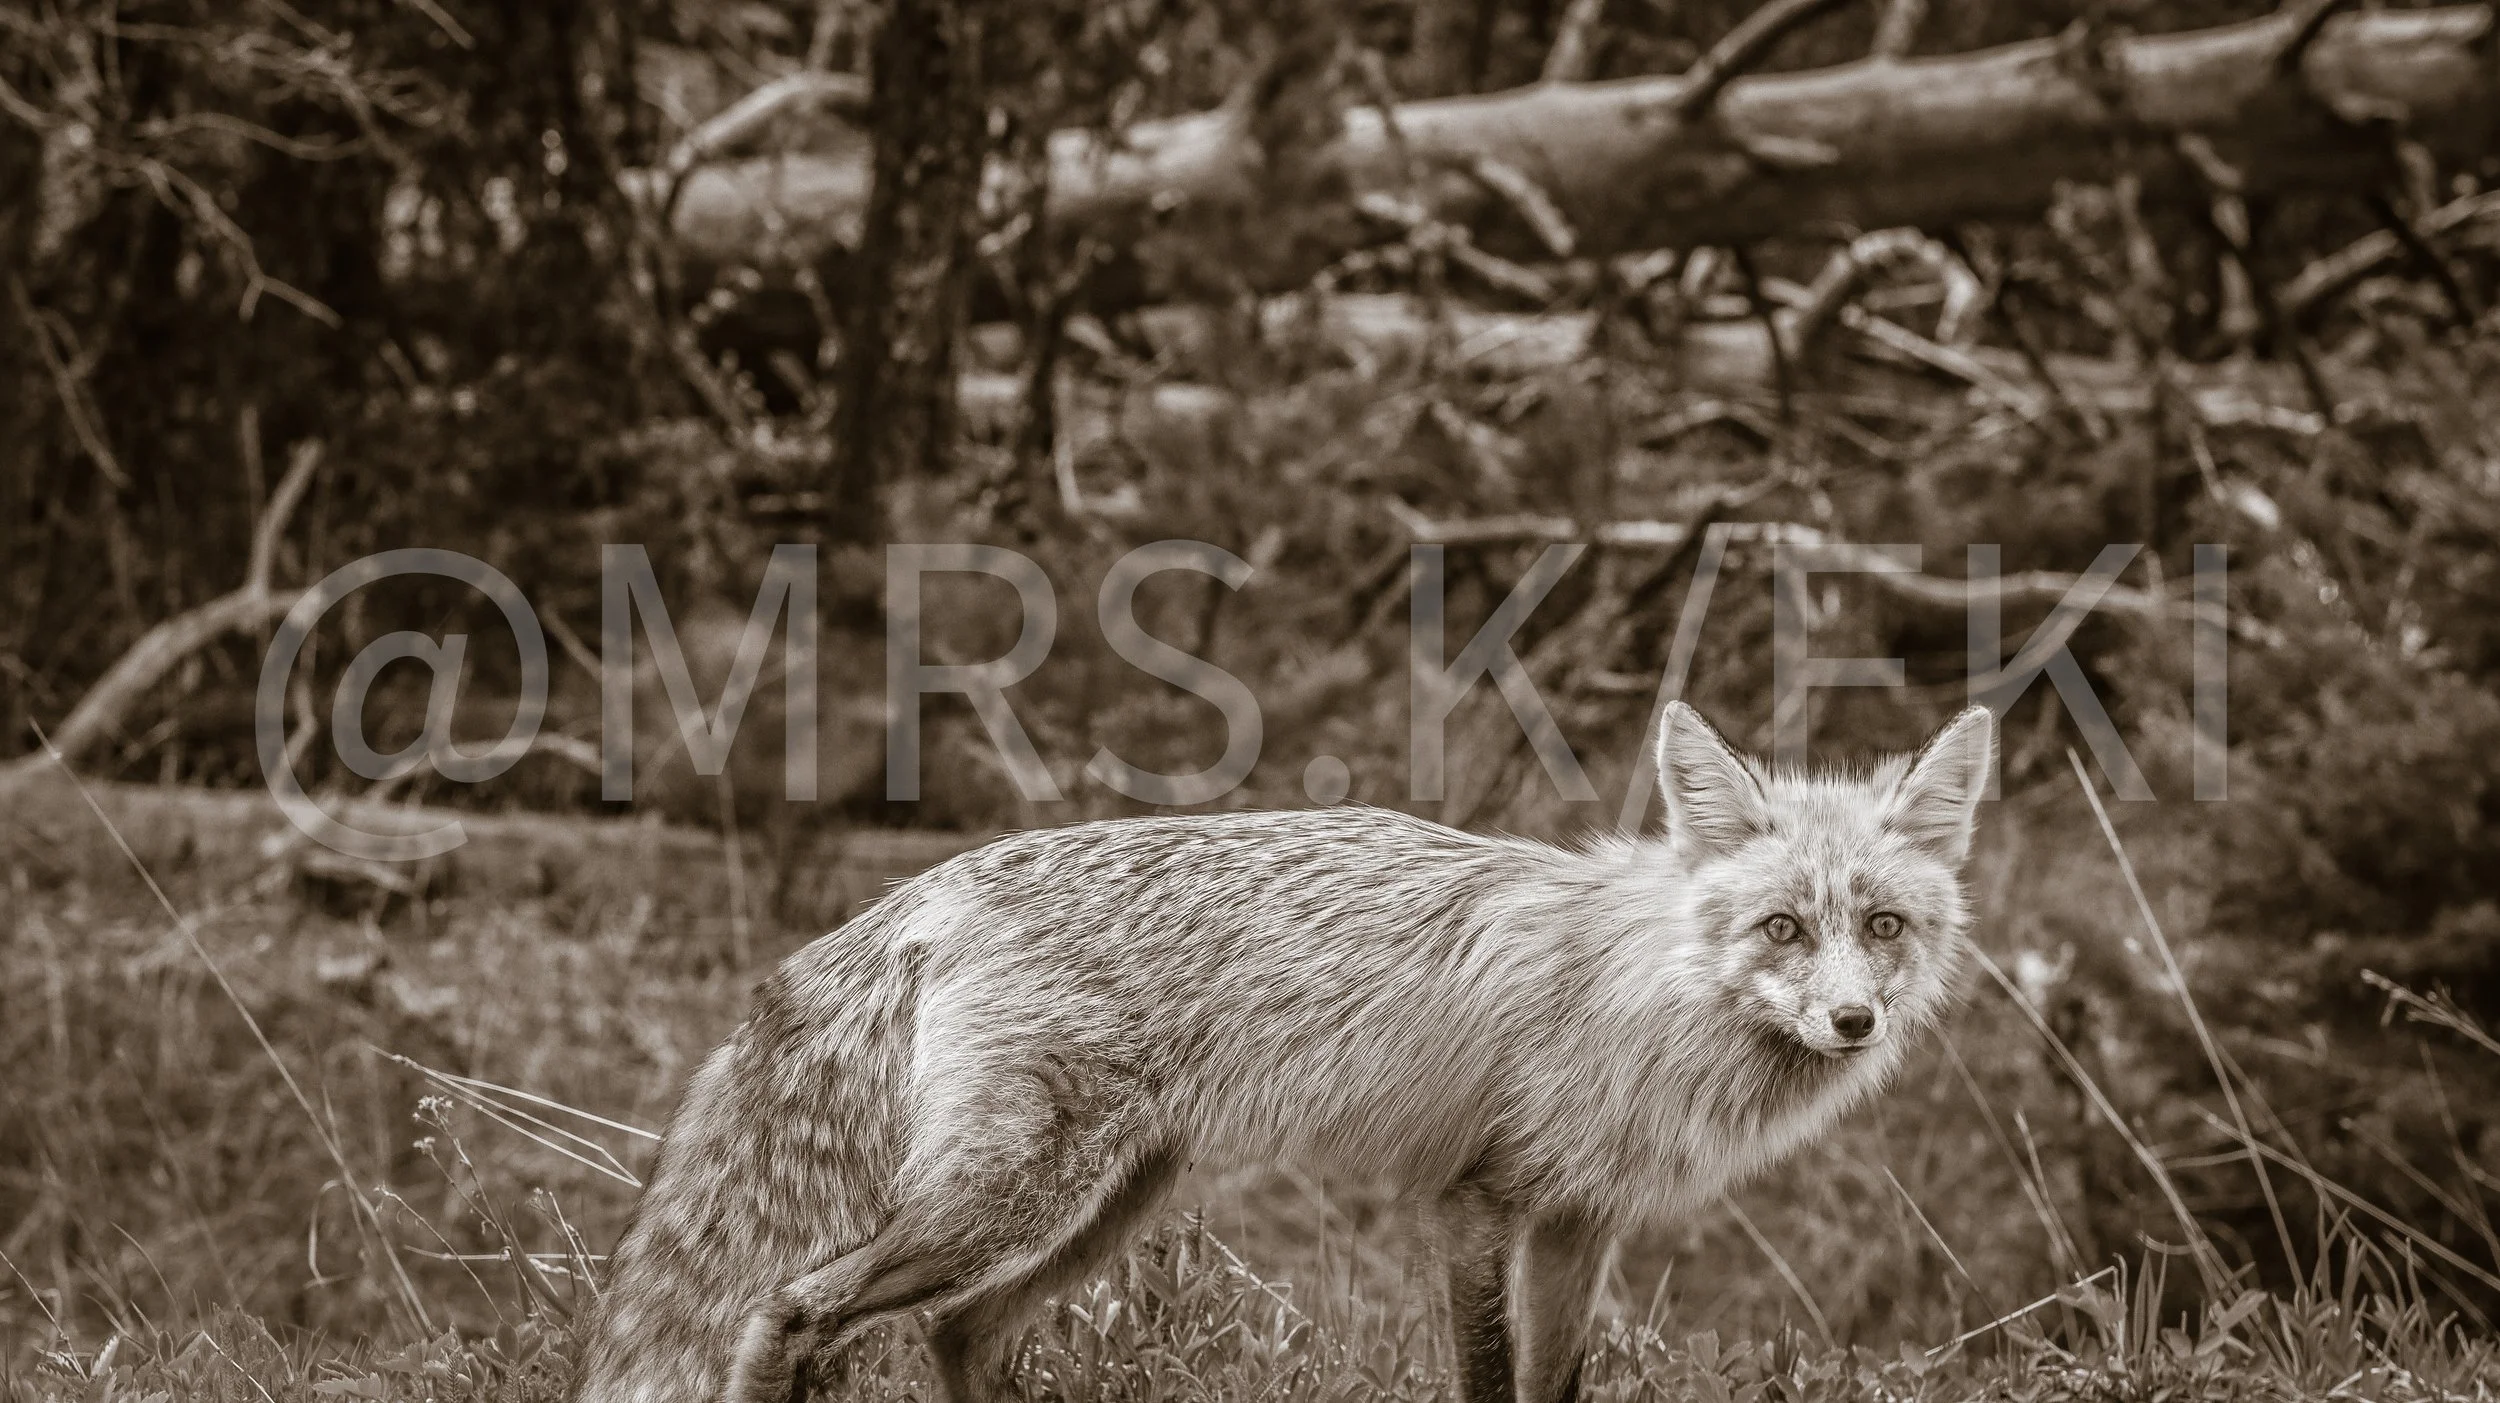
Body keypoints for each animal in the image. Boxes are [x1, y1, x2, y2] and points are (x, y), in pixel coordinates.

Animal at [573, 701, 1995, 1403]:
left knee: (958, 1334)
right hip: (1007, 1197)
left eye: (1881, 925)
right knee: (792, 1307)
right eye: (1781, 925)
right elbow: (1490, 1382)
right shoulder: (1477, 1202)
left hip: (1106, 1205)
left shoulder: (1580, 1222)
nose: (1854, 1020)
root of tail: (935, 881)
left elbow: (1557, 1387)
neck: (1643, 995)